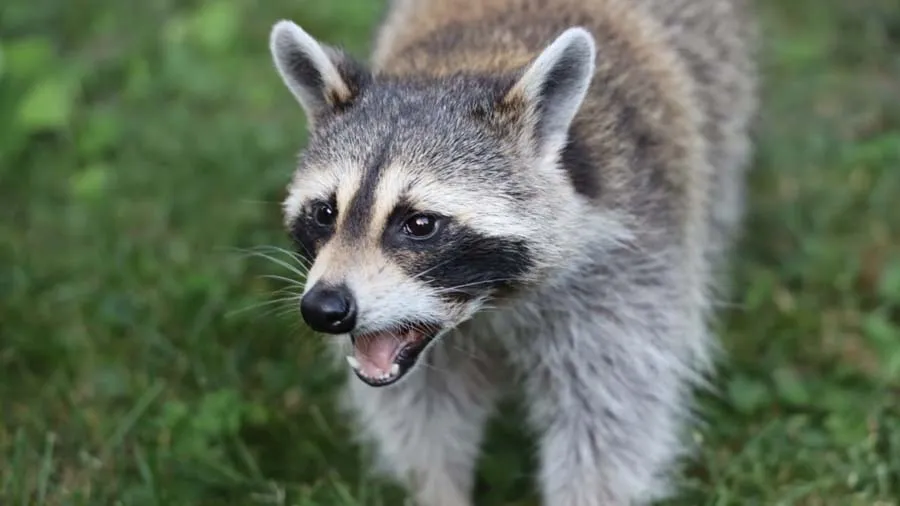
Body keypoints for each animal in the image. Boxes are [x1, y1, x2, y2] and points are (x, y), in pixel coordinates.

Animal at [267, 0, 756, 504]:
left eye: (420, 225)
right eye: (325, 213)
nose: (325, 309)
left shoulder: (631, 263)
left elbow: (610, 416)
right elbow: (422, 412)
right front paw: (439, 489)